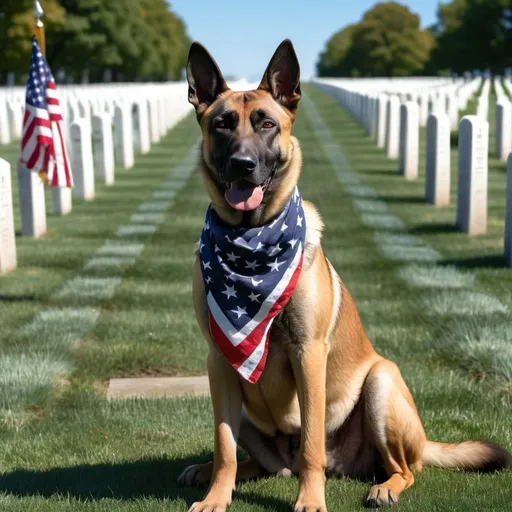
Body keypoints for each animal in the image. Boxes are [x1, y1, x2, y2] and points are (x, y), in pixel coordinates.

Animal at [177, 38, 512, 510]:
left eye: (266, 124)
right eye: (222, 125)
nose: (243, 164)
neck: (251, 240)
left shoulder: (308, 353)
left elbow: (312, 442)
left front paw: (310, 499)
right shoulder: (221, 358)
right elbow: (223, 445)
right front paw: (216, 495)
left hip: (381, 383)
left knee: (403, 468)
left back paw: (384, 487)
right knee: (262, 464)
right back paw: (211, 472)